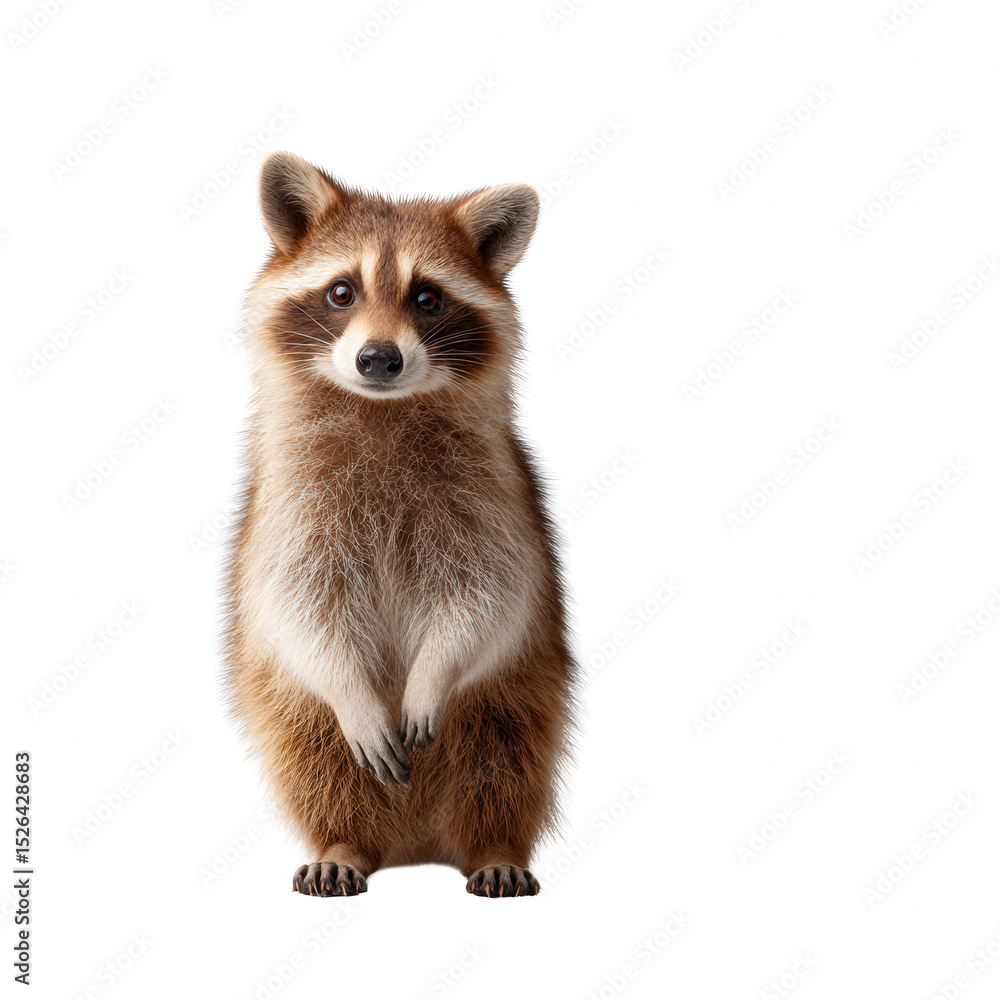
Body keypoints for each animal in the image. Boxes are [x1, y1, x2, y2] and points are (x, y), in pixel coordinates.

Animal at [223, 152, 575, 898]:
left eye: (427, 298)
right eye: (341, 292)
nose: (378, 359)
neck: (382, 408)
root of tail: (416, 844)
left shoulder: (494, 498)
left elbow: (487, 597)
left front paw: (433, 674)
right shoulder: (289, 507)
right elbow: (297, 602)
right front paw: (353, 691)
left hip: (519, 699)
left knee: (504, 763)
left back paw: (495, 844)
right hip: (294, 713)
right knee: (314, 756)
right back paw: (344, 840)